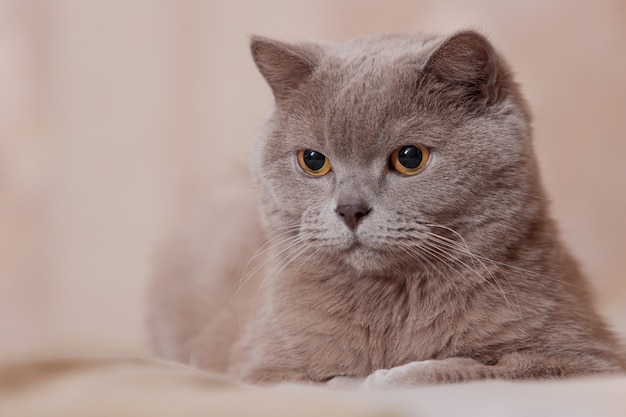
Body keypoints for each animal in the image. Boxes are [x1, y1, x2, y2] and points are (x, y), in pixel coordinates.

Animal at [147, 29, 624, 386]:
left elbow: (478, 368)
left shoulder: (586, 359)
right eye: (313, 160)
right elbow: (320, 377)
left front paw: (391, 375)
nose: (350, 209)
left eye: (410, 157)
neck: (394, 301)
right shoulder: (261, 369)